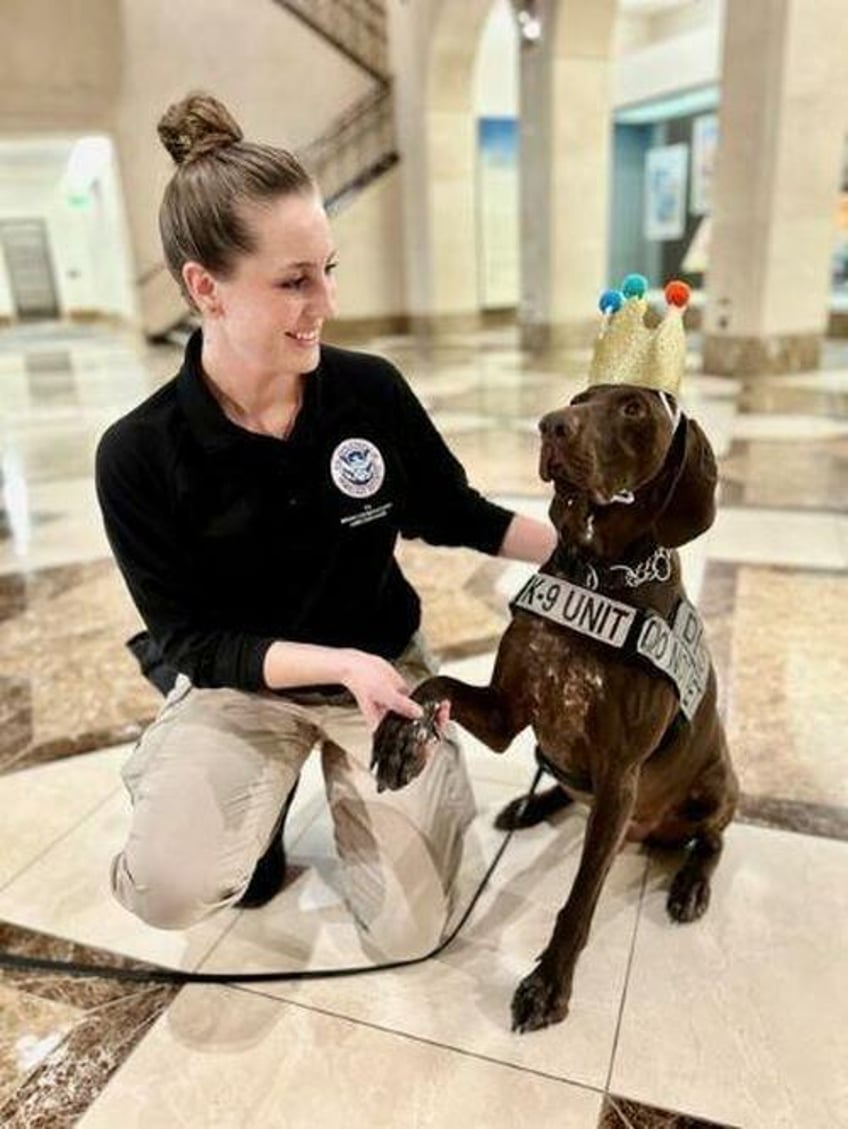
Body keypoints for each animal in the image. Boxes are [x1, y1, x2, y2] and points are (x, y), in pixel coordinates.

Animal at [370, 386, 736, 1034]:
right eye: (579, 397)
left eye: (634, 408)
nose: (549, 425)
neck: (597, 575)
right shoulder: (505, 715)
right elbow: (432, 682)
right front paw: (400, 739)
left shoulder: (620, 776)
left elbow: (580, 899)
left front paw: (548, 985)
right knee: (564, 787)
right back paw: (528, 805)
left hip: (716, 780)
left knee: (712, 839)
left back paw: (691, 885)